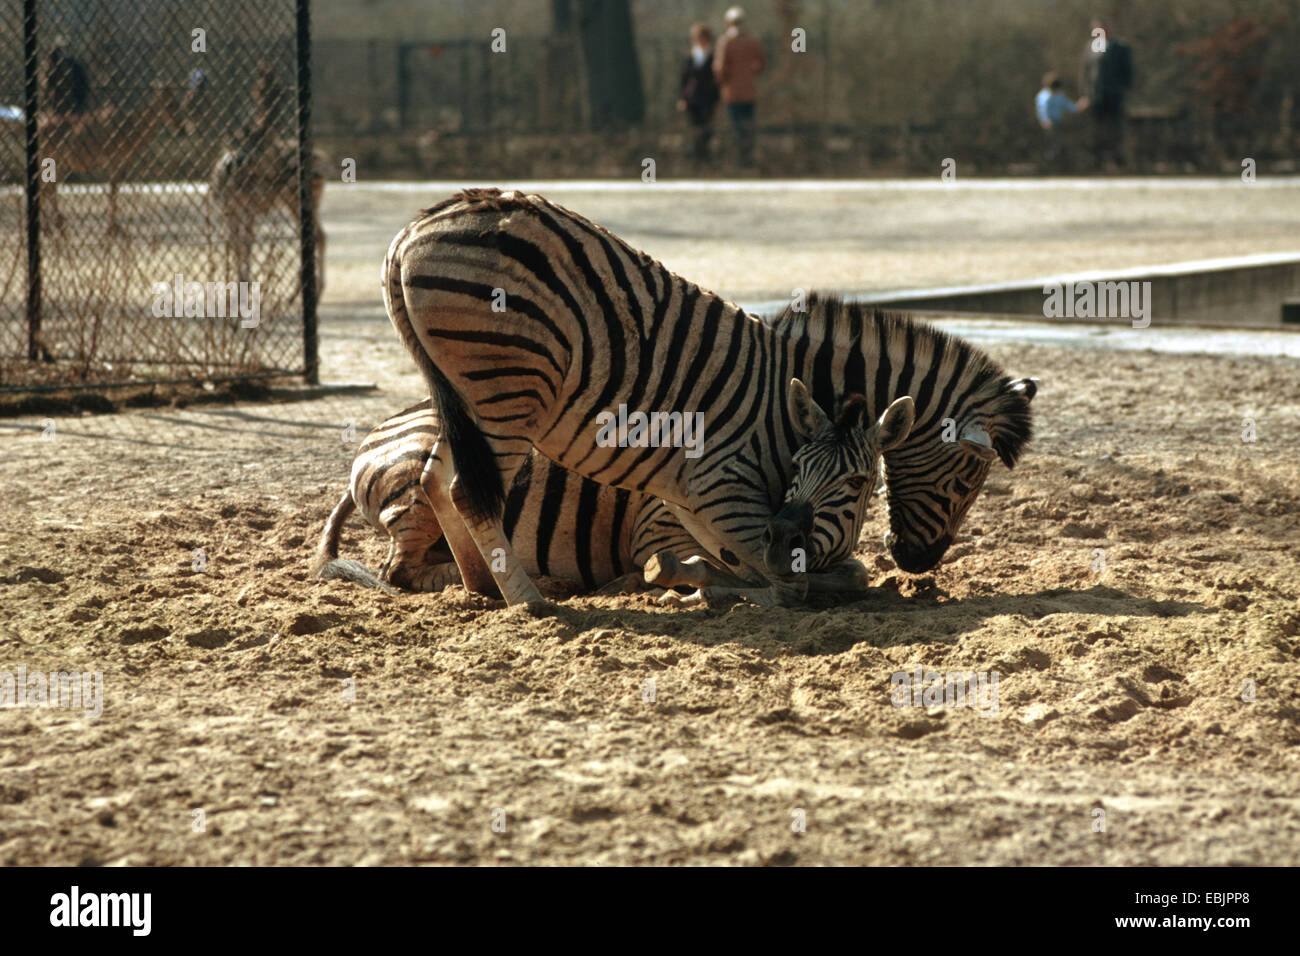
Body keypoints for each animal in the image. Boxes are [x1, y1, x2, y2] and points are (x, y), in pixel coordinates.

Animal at [313, 391, 913, 603]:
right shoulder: (656, 528)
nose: (784, 535)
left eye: (858, 483)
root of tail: (379, 429)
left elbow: (853, 572)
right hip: (418, 488)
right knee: (400, 572)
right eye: (797, 468)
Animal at [384, 188, 922, 607]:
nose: (911, 556)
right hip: (508, 386)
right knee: (462, 493)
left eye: (858, 482)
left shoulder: (693, 500)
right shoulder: (719, 490)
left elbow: (806, 569)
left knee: (435, 482)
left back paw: (484, 587)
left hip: (465, 396)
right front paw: (699, 586)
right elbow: (795, 582)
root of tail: (409, 234)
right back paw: (530, 600)